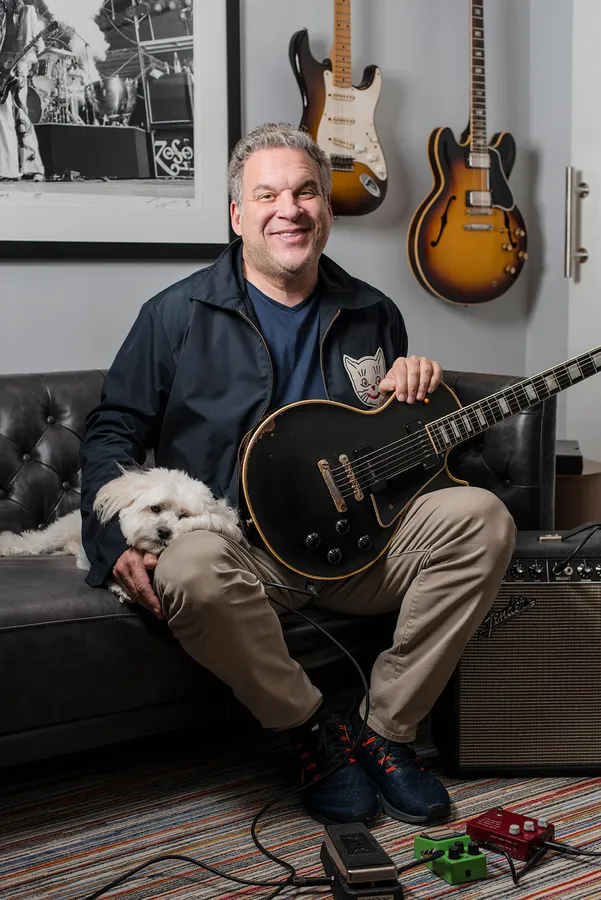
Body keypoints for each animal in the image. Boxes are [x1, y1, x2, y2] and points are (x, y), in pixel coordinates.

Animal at [0, 466, 246, 602]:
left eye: (184, 516)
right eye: (155, 508)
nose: (164, 532)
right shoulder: (93, 558)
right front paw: (123, 586)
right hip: (62, 529)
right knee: (35, 541)